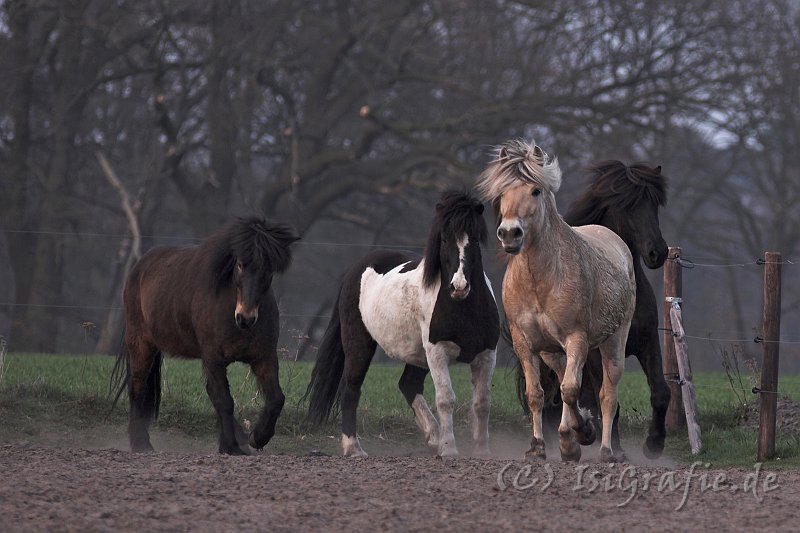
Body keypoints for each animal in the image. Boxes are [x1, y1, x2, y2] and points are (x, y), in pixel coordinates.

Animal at [111, 215, 298, 454]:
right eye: (240, 264)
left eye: (269, 268)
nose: (245, 318)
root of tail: (139, 266)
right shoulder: (213, 357)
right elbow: (224, 400)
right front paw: (230, 447)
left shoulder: (264, 357)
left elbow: (276, 399)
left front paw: (257, 438)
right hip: (141, 344)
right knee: (137, 388)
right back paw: (141, 444)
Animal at [306, 191, 500, 458]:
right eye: (444, 239)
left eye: (475, 240)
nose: (459, 286)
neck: (464, 310)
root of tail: (356, 269)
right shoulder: (437, 352)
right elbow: (446, 399)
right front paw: (449, 449)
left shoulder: (487, 354)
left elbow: (482, 402)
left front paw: (482, 451)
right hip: (360, 345)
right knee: (351, 389)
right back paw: (354, 448)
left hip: (418, 355)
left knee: (408, 384)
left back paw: (433, 436)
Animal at [478, 140, 636, 462]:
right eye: (501, 192)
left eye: (535, 190)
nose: (509, 233)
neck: (540, 280)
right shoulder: (525, 344)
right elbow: (537, 394)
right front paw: (539, 446)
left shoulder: (577, 339)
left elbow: (571, 390)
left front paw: (572, 441)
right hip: (552, 351)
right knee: (563, 382)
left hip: (613, 343)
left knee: (606, 395)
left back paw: (605, 449)